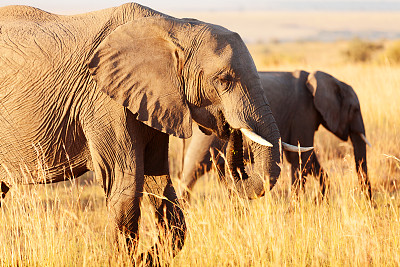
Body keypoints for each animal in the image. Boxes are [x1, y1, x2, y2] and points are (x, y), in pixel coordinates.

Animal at [0, 2, 288, 266]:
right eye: (224, 80)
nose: (230, 129)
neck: (176, 28)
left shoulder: (156, 101)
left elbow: (159, 180)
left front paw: (145, 258)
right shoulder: (105, 101)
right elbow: (126, 184)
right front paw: (134, 259)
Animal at [178, 70, 372, 201]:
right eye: (355, 109)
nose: (370, 204)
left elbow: (308, 159)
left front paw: (320, 201)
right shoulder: (303, 113)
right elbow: (301, 158)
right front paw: (295, 210)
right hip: (205, 137)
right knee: (193, 170)